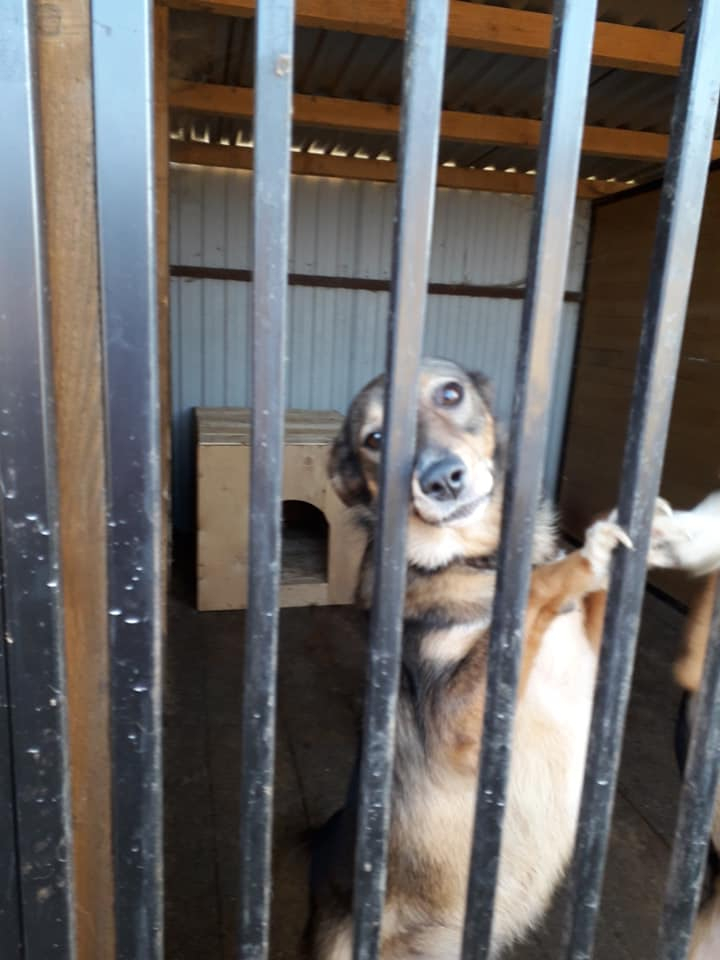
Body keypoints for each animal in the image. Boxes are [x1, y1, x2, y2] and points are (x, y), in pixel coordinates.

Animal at [306, 357, 669, 960]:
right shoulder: (456, 725)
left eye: (450, 394)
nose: (441, 479)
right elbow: (532, 586)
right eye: (376, 439)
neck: (476, 559)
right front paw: (584, 556)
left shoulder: (594, 663)